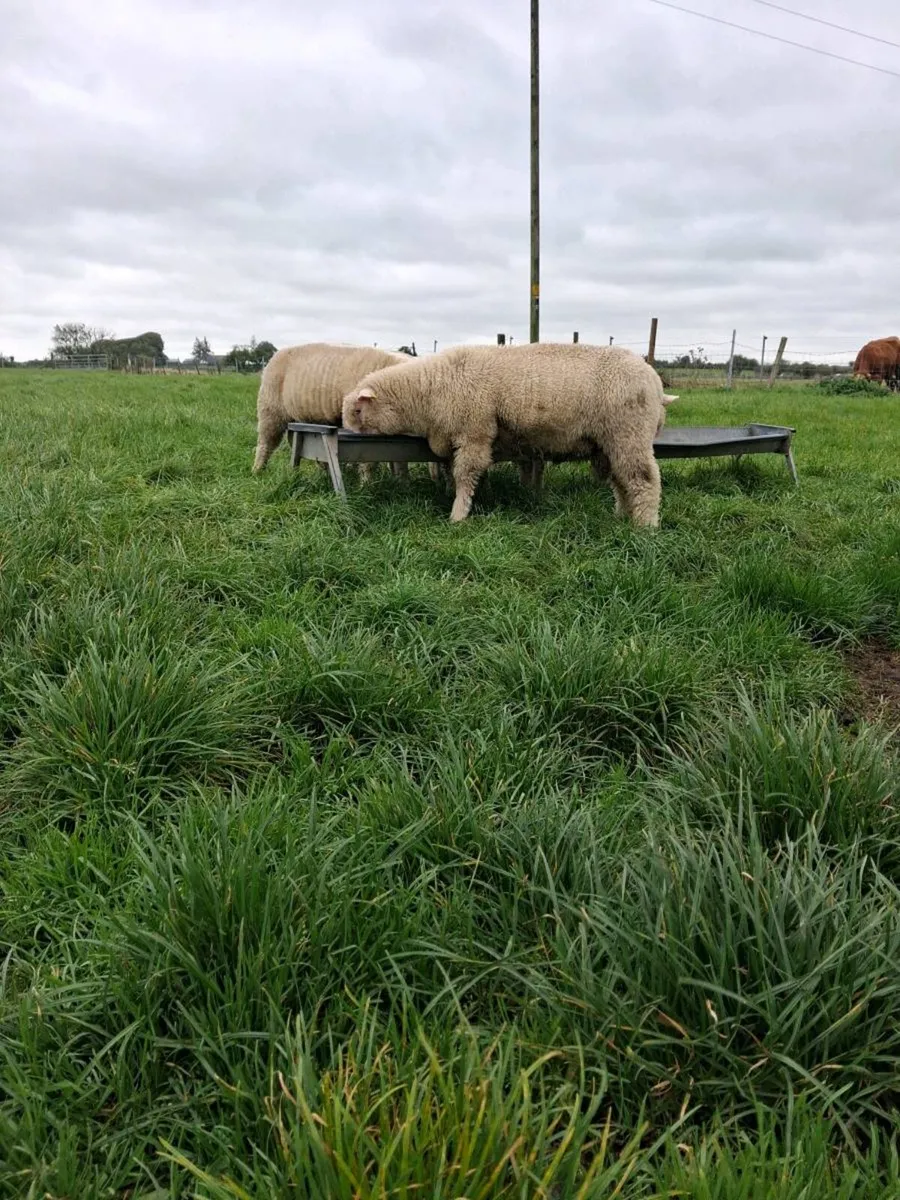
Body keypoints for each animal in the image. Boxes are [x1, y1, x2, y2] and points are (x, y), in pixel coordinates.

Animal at [252, 342, 411, 479]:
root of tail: (276, 354)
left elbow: (400, 458)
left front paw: (402, 481)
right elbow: (370, 460)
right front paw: (367, 484)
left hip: (305, 418)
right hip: (270, 409)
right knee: (265, 443)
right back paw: (258, 471)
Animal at [342, 343, 678, 525]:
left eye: (357, 411)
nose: (348, 435)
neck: (429, 389)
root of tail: (656, 383)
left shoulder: (475, 431)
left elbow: (466, 474)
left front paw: (458, 515)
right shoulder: (454, 438)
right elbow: (454, 472)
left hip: (629, 433)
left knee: (644, 481)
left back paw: (645, 527)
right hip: (611, 442)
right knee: (622, 480)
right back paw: (622, 516)